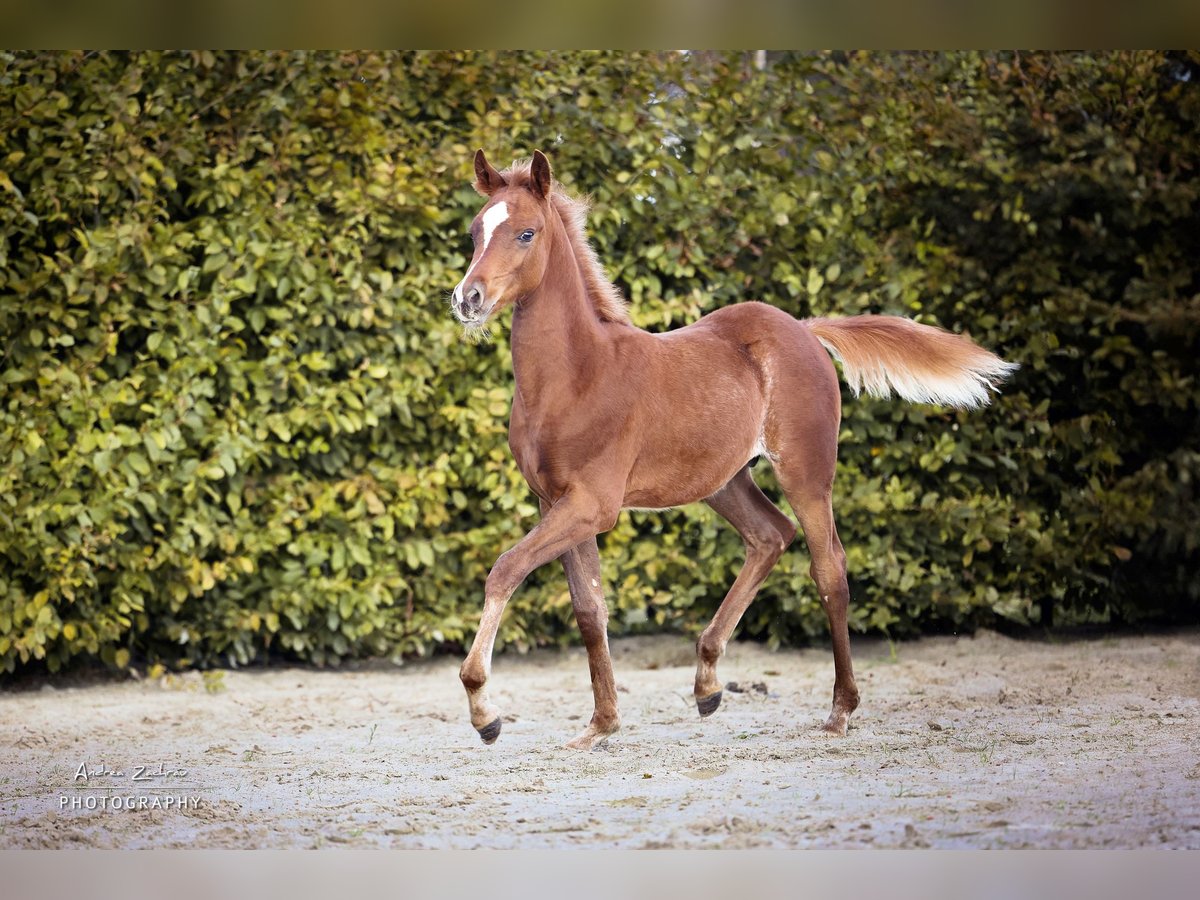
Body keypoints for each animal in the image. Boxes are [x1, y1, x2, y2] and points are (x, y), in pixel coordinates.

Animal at [453, 151, 1017, 748]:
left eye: (526, 233)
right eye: (475, 231)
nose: (467, 299)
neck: (576, 375)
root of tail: (805, 329)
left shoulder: (592, 505)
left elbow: (505, 570)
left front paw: (484, 711)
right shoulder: (555, 502)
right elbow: (589, 608)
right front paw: (601, 724)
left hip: (805, 473)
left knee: (829, 569)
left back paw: (839, 710)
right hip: (724, 480)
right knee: (770, 536)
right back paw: (707, 683)